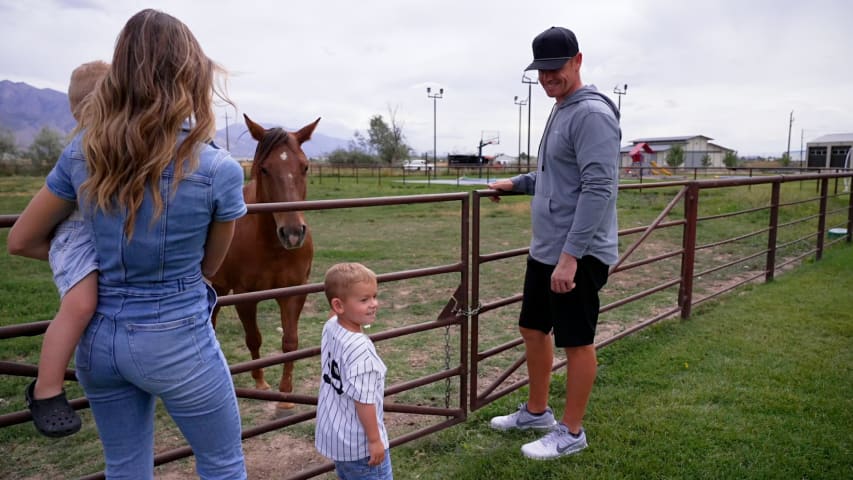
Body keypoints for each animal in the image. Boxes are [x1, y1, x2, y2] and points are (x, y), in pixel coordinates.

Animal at [210, 112, 320, 408]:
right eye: (264, 169)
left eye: (305, 167)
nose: (292, 233)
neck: (272, 247)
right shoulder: (245, 296)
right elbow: (254, 339)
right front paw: (260, 382)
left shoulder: (294, 291)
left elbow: (290, 342)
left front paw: (286, 396)